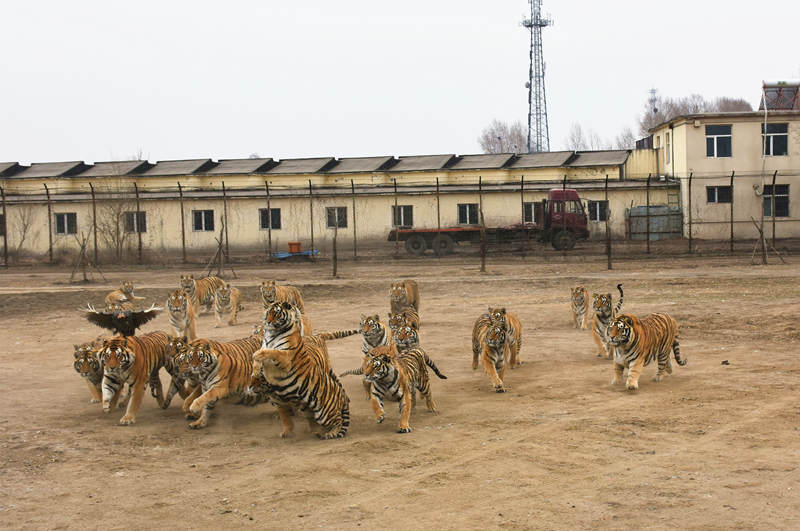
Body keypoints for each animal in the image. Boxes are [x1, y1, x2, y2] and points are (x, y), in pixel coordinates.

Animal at [250, 302, 350, 442]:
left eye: (276, 313)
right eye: (268, 312)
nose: (267, 322)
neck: (272, 335)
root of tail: (342, 397)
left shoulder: (286, 357)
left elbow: (272, 351)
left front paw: (258, 355)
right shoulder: (280, 403)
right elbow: (285, 419)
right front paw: (286, 433)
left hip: (324, 412)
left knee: (338, 421)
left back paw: (328, 433)